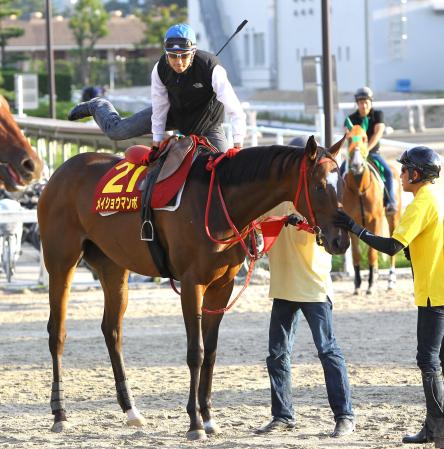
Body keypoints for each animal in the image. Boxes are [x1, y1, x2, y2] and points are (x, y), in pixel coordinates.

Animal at [38, 135, 350, 440]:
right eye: (320, 186)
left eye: (342, 185)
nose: (342, 240)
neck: (219, 204)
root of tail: (62, 172)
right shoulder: (191, 284)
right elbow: (195, 352)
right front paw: (195, 423)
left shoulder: (221, 286)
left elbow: (210, 352)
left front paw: (208, 418)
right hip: (61, 263)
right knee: (57, 332)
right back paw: (59, 413)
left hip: (113, 266)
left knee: (112, 331)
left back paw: (130, 410)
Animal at [342, 117, 400, 296]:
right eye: (348, 139)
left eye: (365, 138)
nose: (356, 164)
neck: (360, 188)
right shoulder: (352, 223)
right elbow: (356, 254)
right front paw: (358, 284)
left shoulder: (374, 220)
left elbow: (372, 253)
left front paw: (371, 285)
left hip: (392, 217)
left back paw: (390, 280)